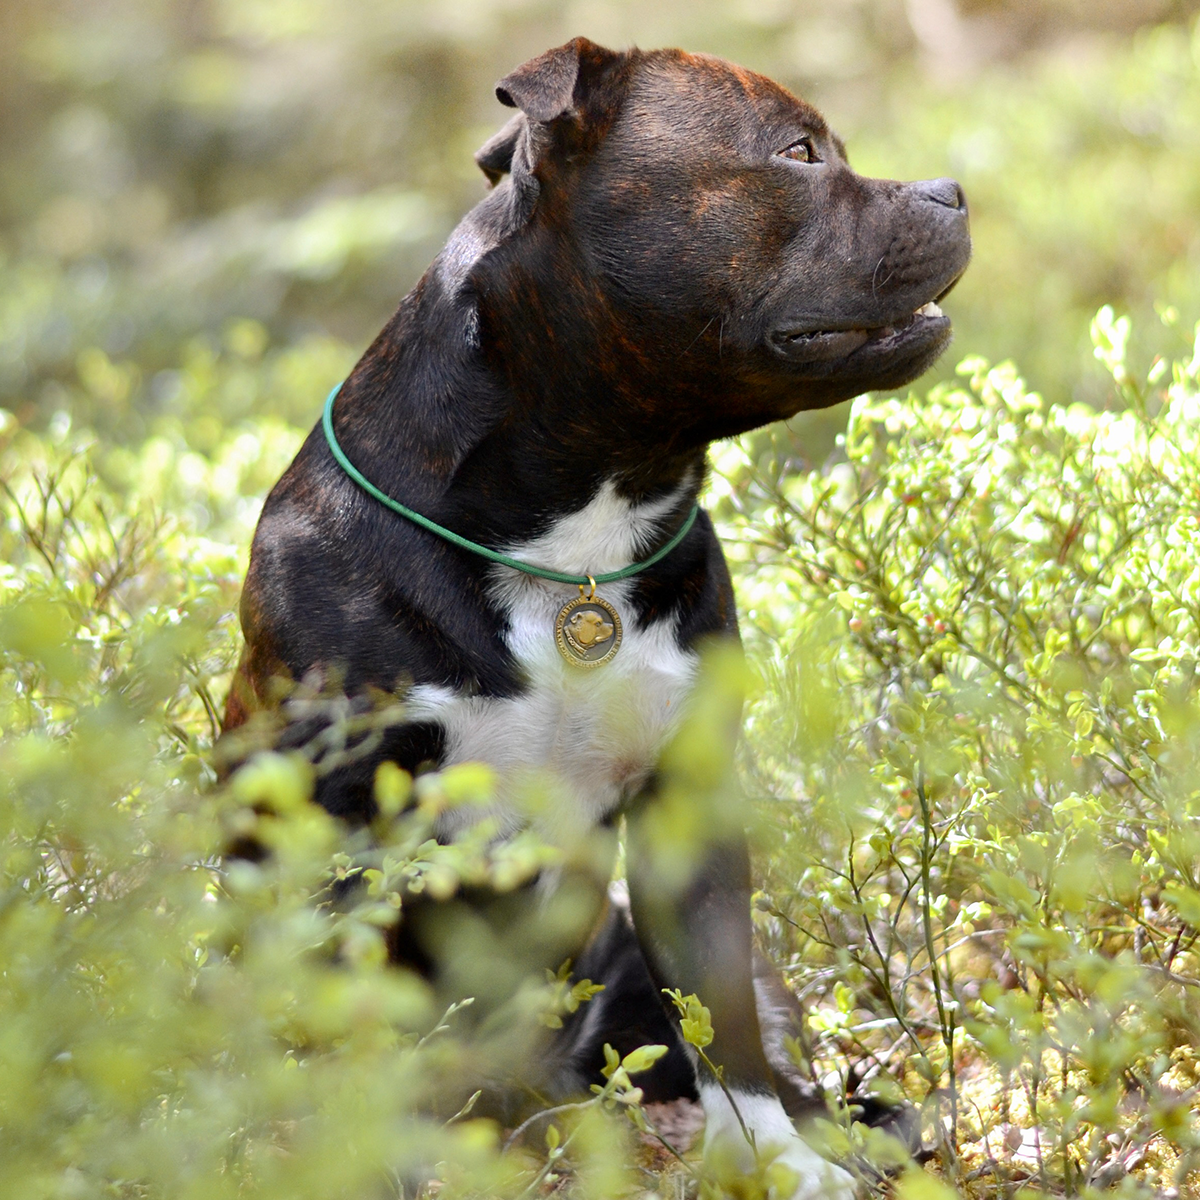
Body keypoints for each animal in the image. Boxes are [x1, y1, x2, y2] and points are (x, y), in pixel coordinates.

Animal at [225, 37, 969, 1200]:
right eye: (797, 153)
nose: (953, 191)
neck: (576, 529)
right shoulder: (341, 829)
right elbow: (358, 1026)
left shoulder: (687, 817)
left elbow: (724, 1024)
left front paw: (776, 1163)